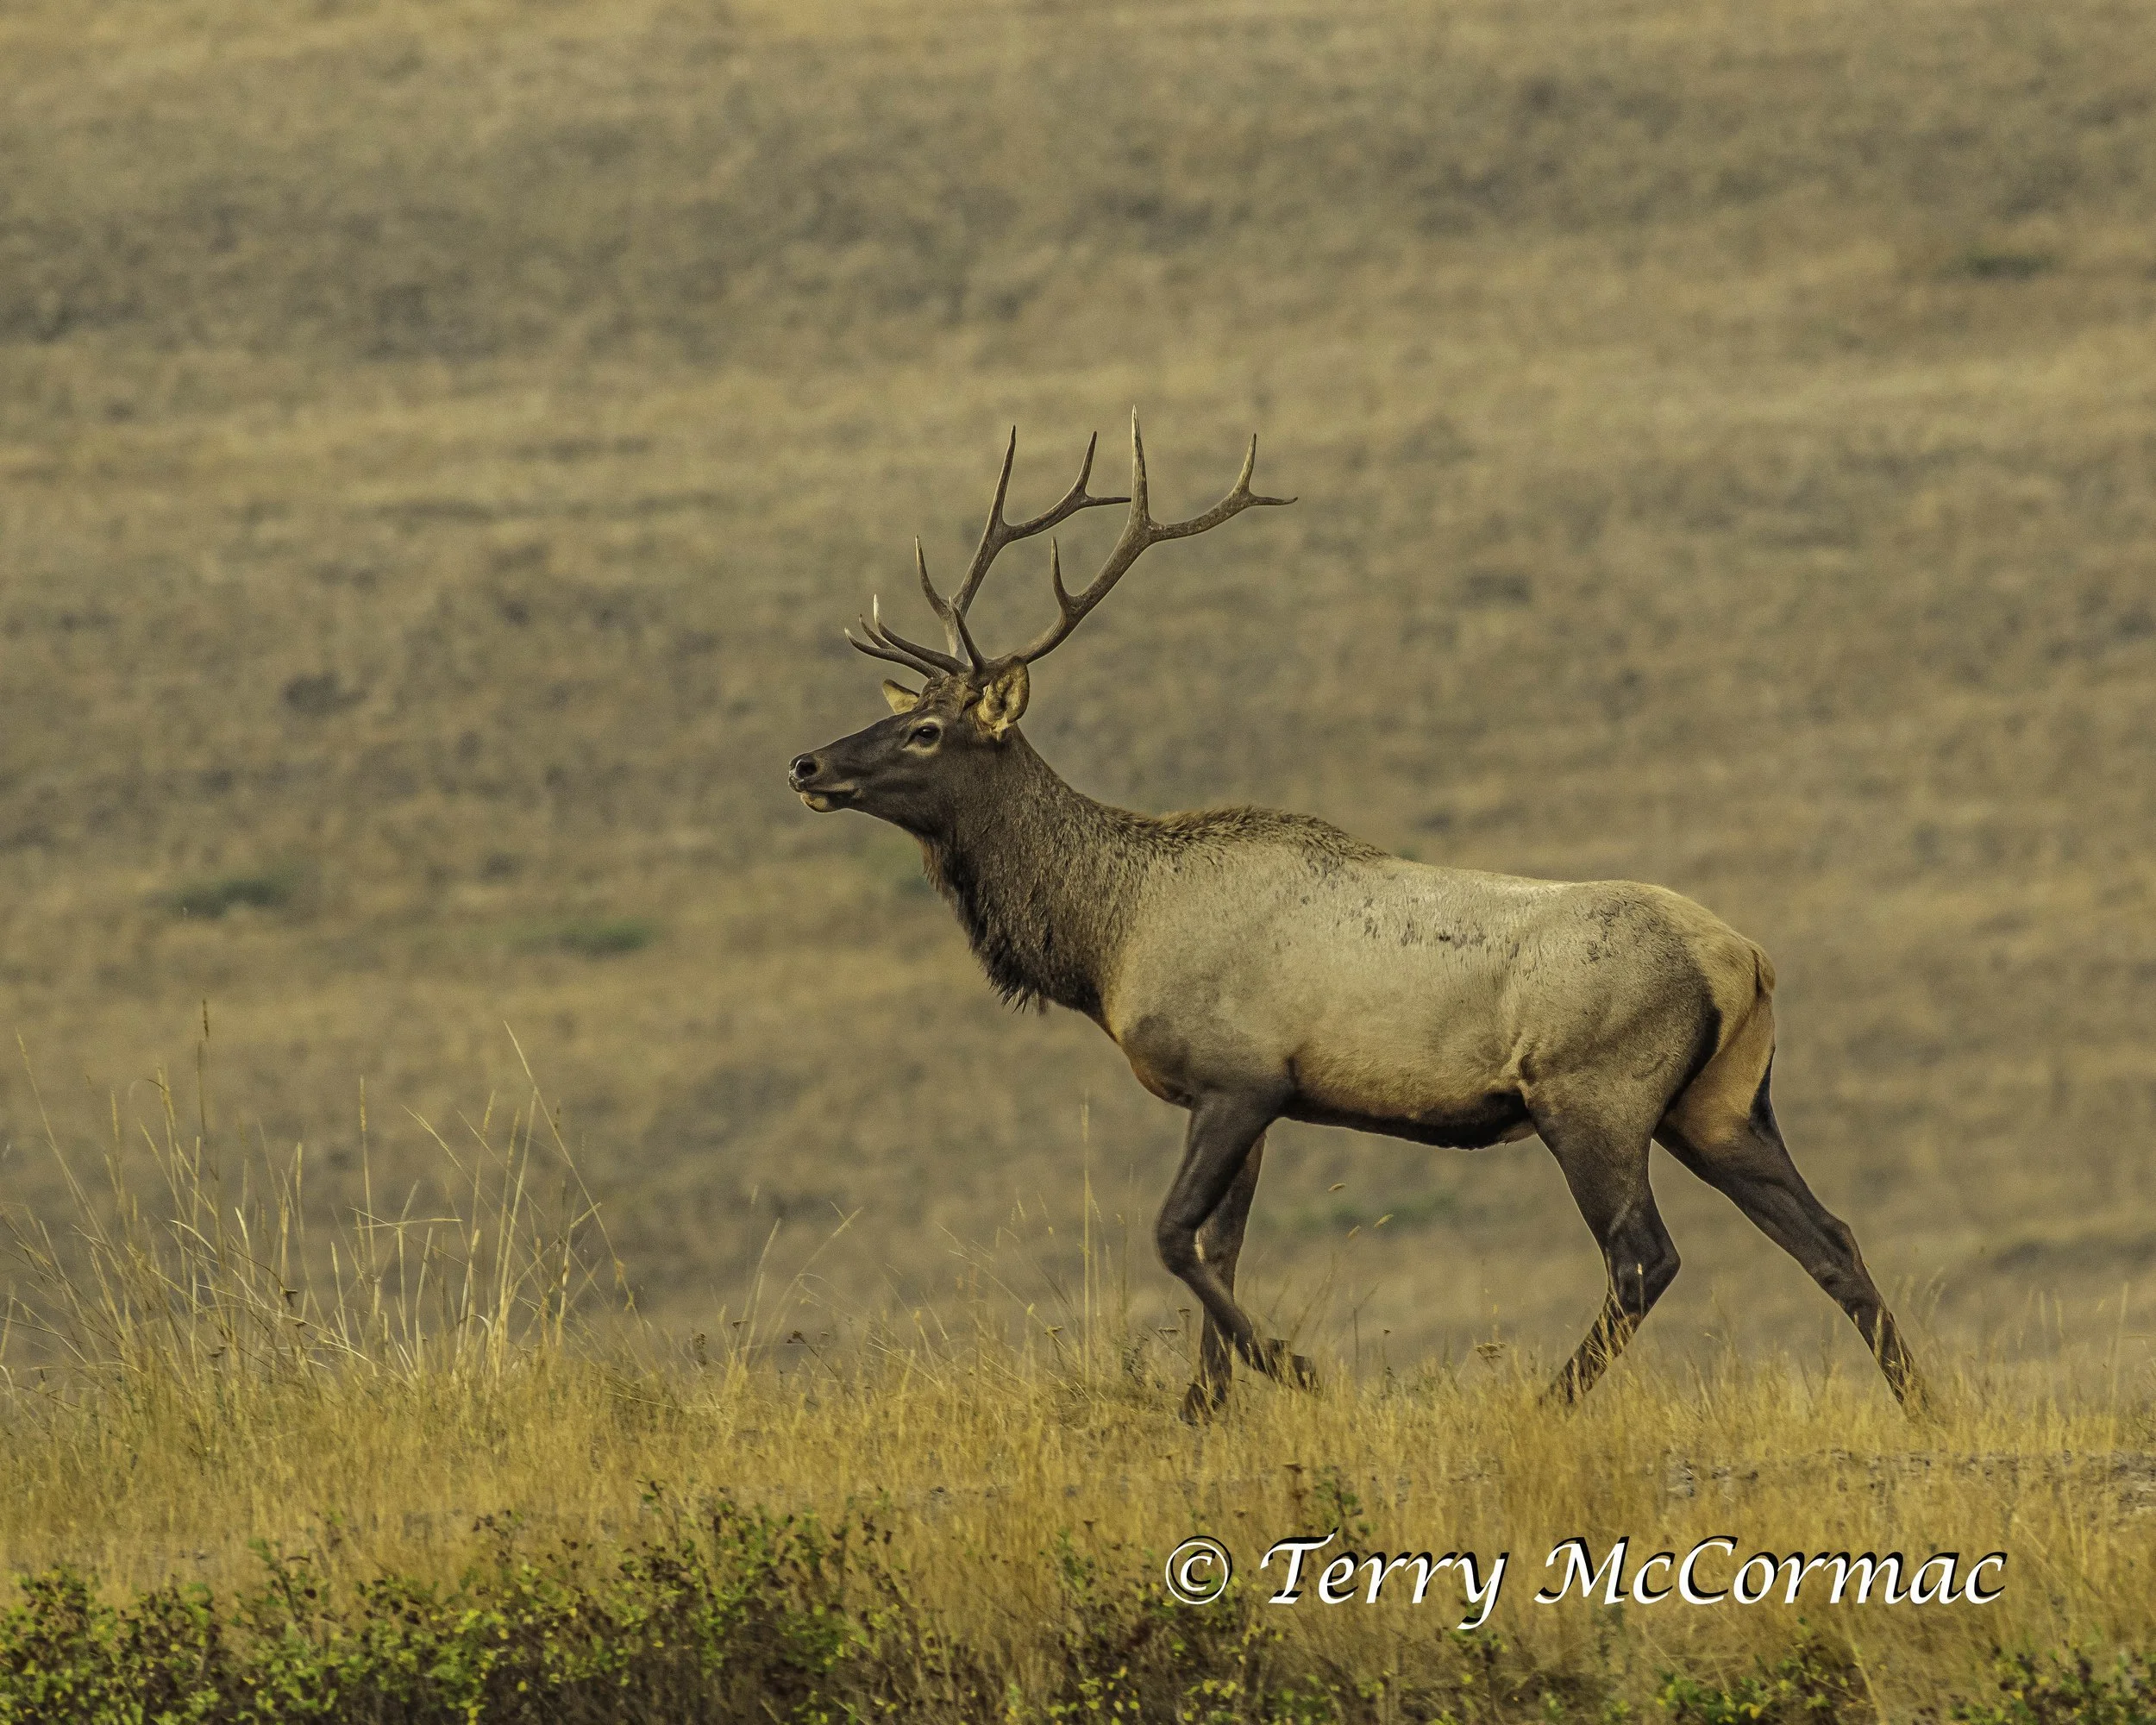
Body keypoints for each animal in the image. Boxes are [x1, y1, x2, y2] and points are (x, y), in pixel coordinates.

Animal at [787, 415, 1926, 1419]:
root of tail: (1747, 959)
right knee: (1831, 1237)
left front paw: (1293, 1369)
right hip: (1723, 1104)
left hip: (1593, 1095)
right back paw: (1928, 1407)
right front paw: (1205, 1406)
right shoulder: (1253, 1098)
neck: (1106, 940)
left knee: (1646, 1257)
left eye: (927, 730)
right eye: (897, 711)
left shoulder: (1238, 1075)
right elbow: (1219, 1245)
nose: (806, 762)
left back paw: (1540, 1408)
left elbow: (1171, 1235)